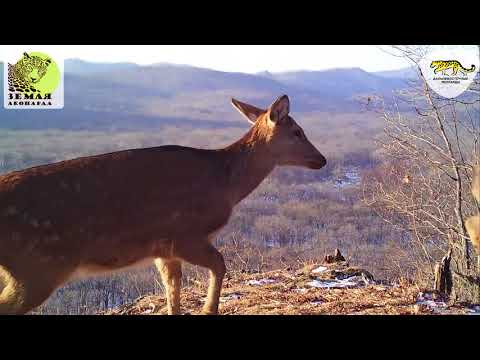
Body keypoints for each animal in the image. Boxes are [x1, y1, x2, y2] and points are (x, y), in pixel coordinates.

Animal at [0, 95, 326, 316]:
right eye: (297, 132)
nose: (321, 160)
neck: (226, 185)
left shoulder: (163, 249)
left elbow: (173, 291)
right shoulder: (185, 234)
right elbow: (220, 265)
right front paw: (209, 309)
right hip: (37, 266)